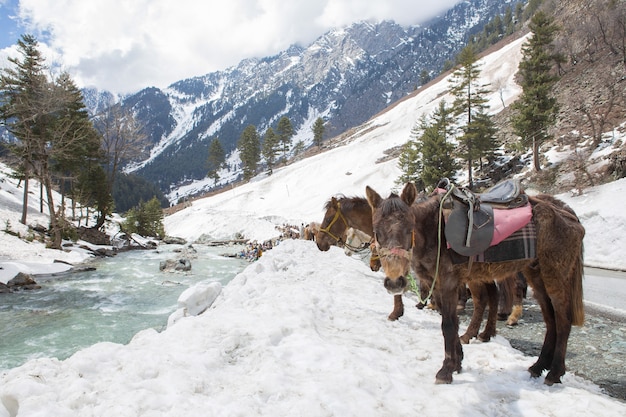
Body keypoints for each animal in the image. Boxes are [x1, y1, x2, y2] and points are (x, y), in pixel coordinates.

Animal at [366, 182, 584, 384]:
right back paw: (539, 366)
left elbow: (448, 325)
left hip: (555, 277)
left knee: (563, 321)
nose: (395, 283)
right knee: (550, 321)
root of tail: (568, 214)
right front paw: (457, 362)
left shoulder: (448, 283)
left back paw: (555, 373)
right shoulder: (439, 286)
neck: (433, 231)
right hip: (536, 276)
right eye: (377, 232)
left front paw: (446, 370)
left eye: (409, 228)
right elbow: (451, 322)